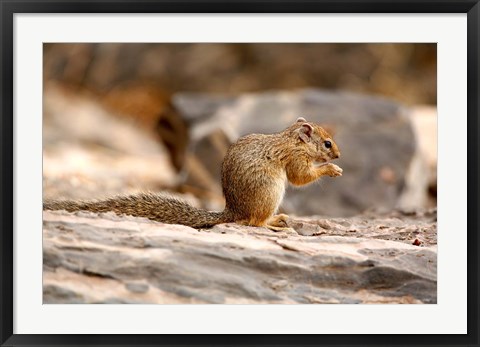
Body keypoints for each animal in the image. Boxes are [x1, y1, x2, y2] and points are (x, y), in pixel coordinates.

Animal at [44, 118, 342, 232]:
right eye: (327, 143)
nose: (339, 156)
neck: (292, 139)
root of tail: (231, 211)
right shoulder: (296, 159)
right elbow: (301, 178)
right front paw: (332, 169)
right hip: (271, 192)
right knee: (254, 222)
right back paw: (274, 222)